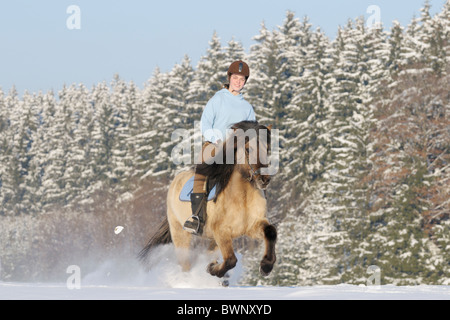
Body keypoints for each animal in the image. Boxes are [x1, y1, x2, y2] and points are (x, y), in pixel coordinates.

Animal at [139, 120, 276, 278]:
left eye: (268, 149)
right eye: (248, 149)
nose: (264, 179)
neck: (242, 197)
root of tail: (175, 181)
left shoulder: (251, 226)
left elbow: (271, 232)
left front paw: (266, 266)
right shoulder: (221, 232)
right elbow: (230, 260)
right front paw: (212, 269)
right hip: (180, 235)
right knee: (185, 264)